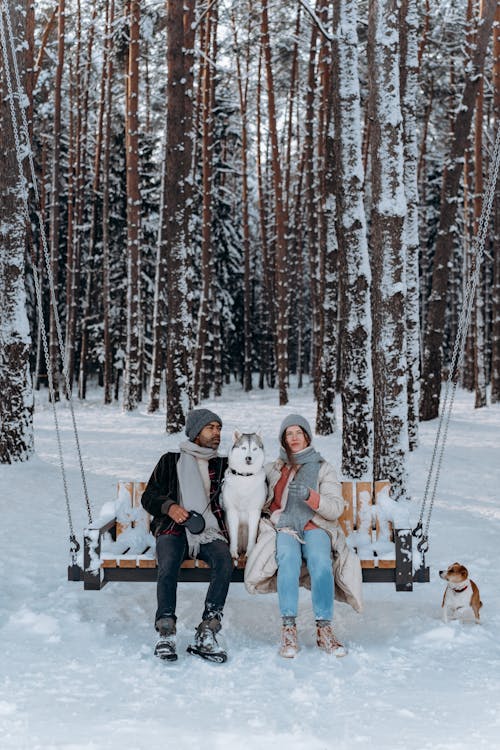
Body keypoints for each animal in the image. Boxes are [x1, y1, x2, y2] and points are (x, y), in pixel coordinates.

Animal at [223, 432, 268, 560]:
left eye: (254, 448)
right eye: (243, 448)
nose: (248, 458)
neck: (245, 477)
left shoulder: (254, 512)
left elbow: (252, 536)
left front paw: (251, 552)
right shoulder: (232, 512)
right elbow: (233, 536)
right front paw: (233, 552)